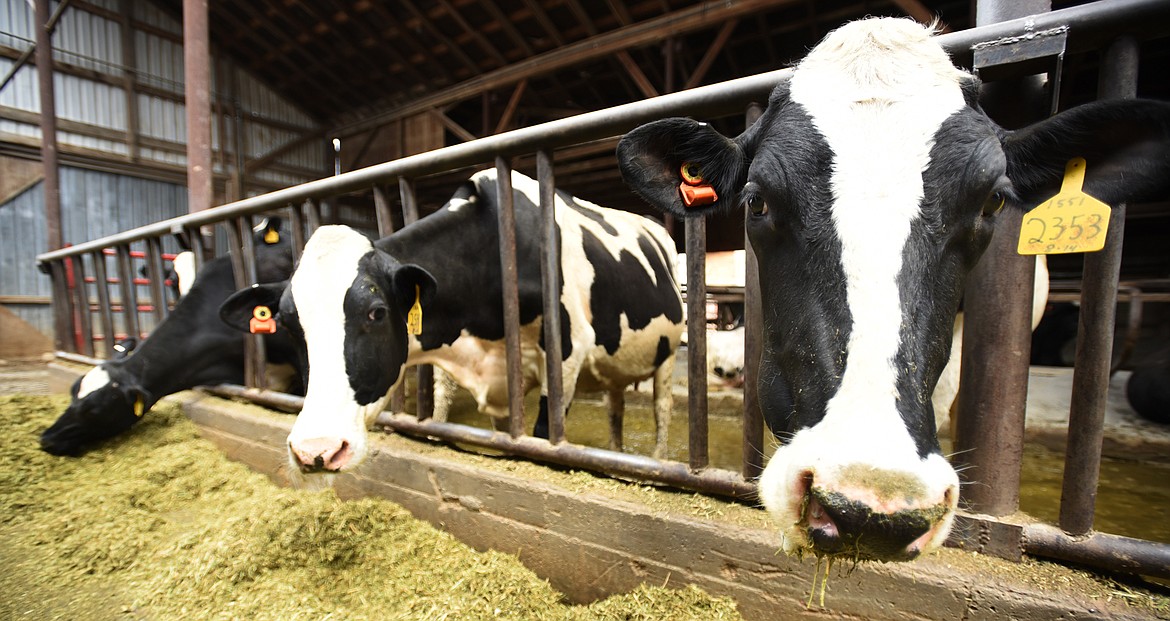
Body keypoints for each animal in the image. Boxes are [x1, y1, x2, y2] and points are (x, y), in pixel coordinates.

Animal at [219, 173, 683, 479]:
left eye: (376, 312)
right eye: (287, 322)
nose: (315, 450)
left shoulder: (569, 350)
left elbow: (543, 437)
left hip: (668, 353)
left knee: (662, 411)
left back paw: (658, 460)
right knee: (615, 409)